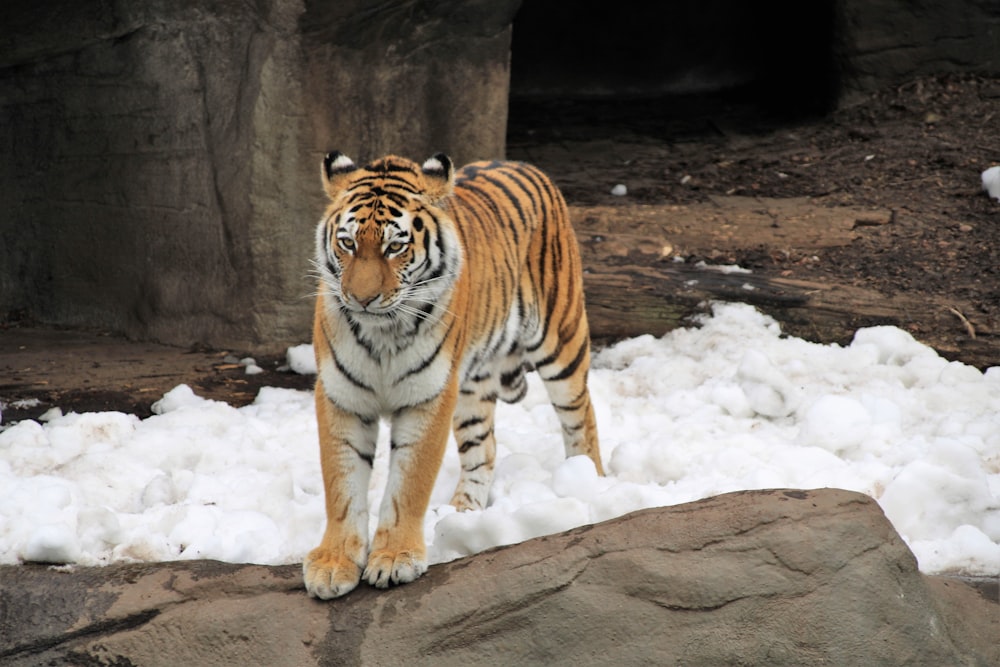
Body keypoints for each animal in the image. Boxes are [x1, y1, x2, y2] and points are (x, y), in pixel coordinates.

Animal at [302, 151, 600, 600]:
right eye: (348, 243)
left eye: (395, 247)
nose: (362, 299)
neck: (382, 332)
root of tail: (523, 164)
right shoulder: (341, 396)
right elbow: (342, 484)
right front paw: (333, 564)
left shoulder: (428, 397)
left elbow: (408, 484)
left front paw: (395, 559)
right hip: (471, 388)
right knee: (485, 448)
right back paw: (464, 514)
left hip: (561, 340)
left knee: (581, 417)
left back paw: (591, 486)